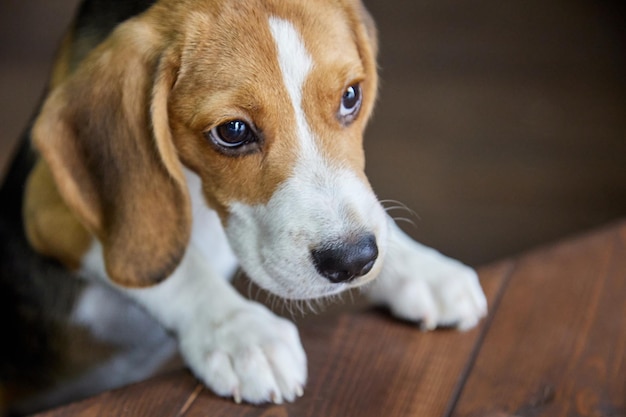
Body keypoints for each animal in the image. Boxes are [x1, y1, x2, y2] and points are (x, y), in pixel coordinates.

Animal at [0, 0, 486, 412]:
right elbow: (179, 268)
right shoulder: (49, 208)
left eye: (351, 96)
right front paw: (241, 332)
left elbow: (370, 209)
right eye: (232, 131)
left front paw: (421, 266)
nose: (352, 260)